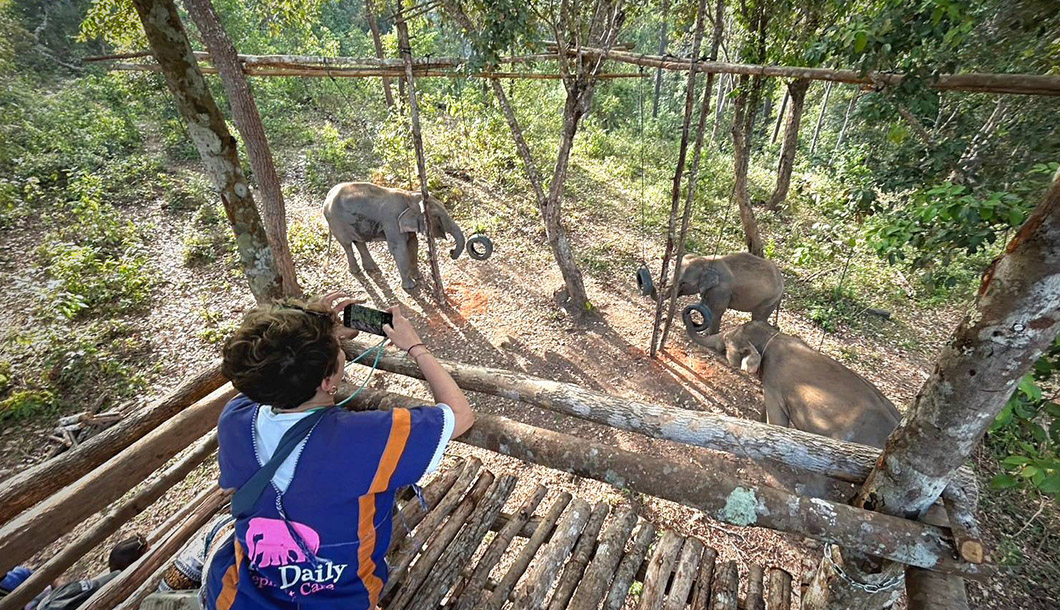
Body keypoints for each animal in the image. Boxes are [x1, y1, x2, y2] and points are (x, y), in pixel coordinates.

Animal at [320, 181, 466, 290]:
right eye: (436, 216)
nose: (451, 251)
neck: (409, 197)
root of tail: (328, 195)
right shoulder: (392, 221)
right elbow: (399, 248)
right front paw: (411, 287)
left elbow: (413, 243)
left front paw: (418, 277)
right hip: (336, 221)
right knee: (347, 244)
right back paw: (356, 271)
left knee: (359, 241)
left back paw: (372, 268)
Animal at [648, 254, 784, 337]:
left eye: (683, 283)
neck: (708, 261)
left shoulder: (721, 291)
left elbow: (716, 310)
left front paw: (707, 335)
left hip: (768, 301)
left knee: (758, 318)